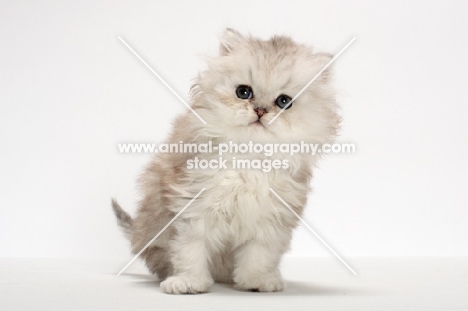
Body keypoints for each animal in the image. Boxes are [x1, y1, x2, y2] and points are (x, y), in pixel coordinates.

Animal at [113, 28, 340, 294]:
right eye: (244, 92)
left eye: (284, 102)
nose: (260, 111)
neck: (247, 161)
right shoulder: (192, 210)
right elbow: (190, 251)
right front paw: (188, 282)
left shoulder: (270, 221)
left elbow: (259, 256)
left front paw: (257, 281)